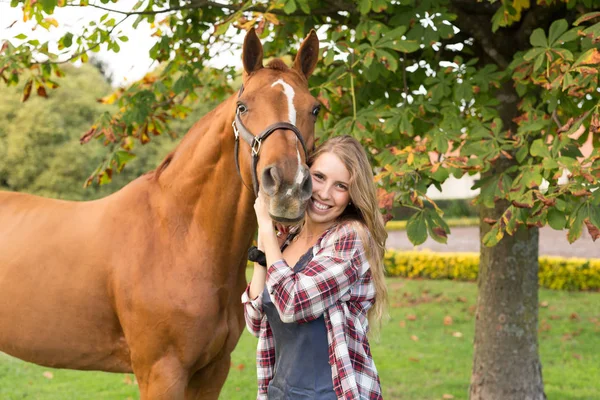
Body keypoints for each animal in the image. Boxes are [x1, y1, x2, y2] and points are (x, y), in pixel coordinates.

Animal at [0, 28, 322, 400]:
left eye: (315, 108)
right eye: (243, 107)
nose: (288, 187)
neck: (179, 237)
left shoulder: (212, 372)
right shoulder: (161, 373)